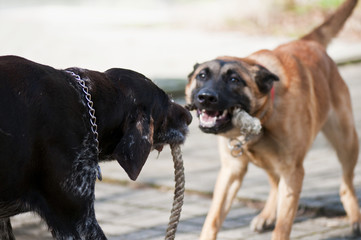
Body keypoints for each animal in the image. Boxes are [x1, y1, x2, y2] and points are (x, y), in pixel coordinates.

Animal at [186, 0, 360, 239]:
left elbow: (283, 226)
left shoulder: (293, 171)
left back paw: (355, 217)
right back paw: (267, 215)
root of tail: (306, 42)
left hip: (347, 141)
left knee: (345, 185)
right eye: (202, 76)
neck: (263, 115)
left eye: (234, 80)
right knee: (275, 183)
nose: (206, 97)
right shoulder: (231, 172)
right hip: (268, 159)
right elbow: (212, 219)